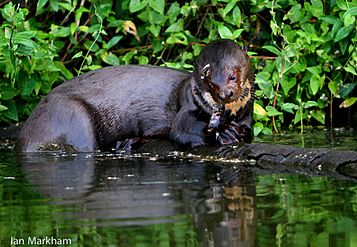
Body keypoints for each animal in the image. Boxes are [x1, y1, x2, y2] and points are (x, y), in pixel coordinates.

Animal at [16, 39, 253, 151]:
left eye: (233, 75)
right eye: (207, 78)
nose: (225, 93)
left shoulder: (247, 114)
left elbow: (249, 131)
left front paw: (234, 130)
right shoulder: (187, 107)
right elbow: (181, 131)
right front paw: (224, 132)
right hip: (73, 116)